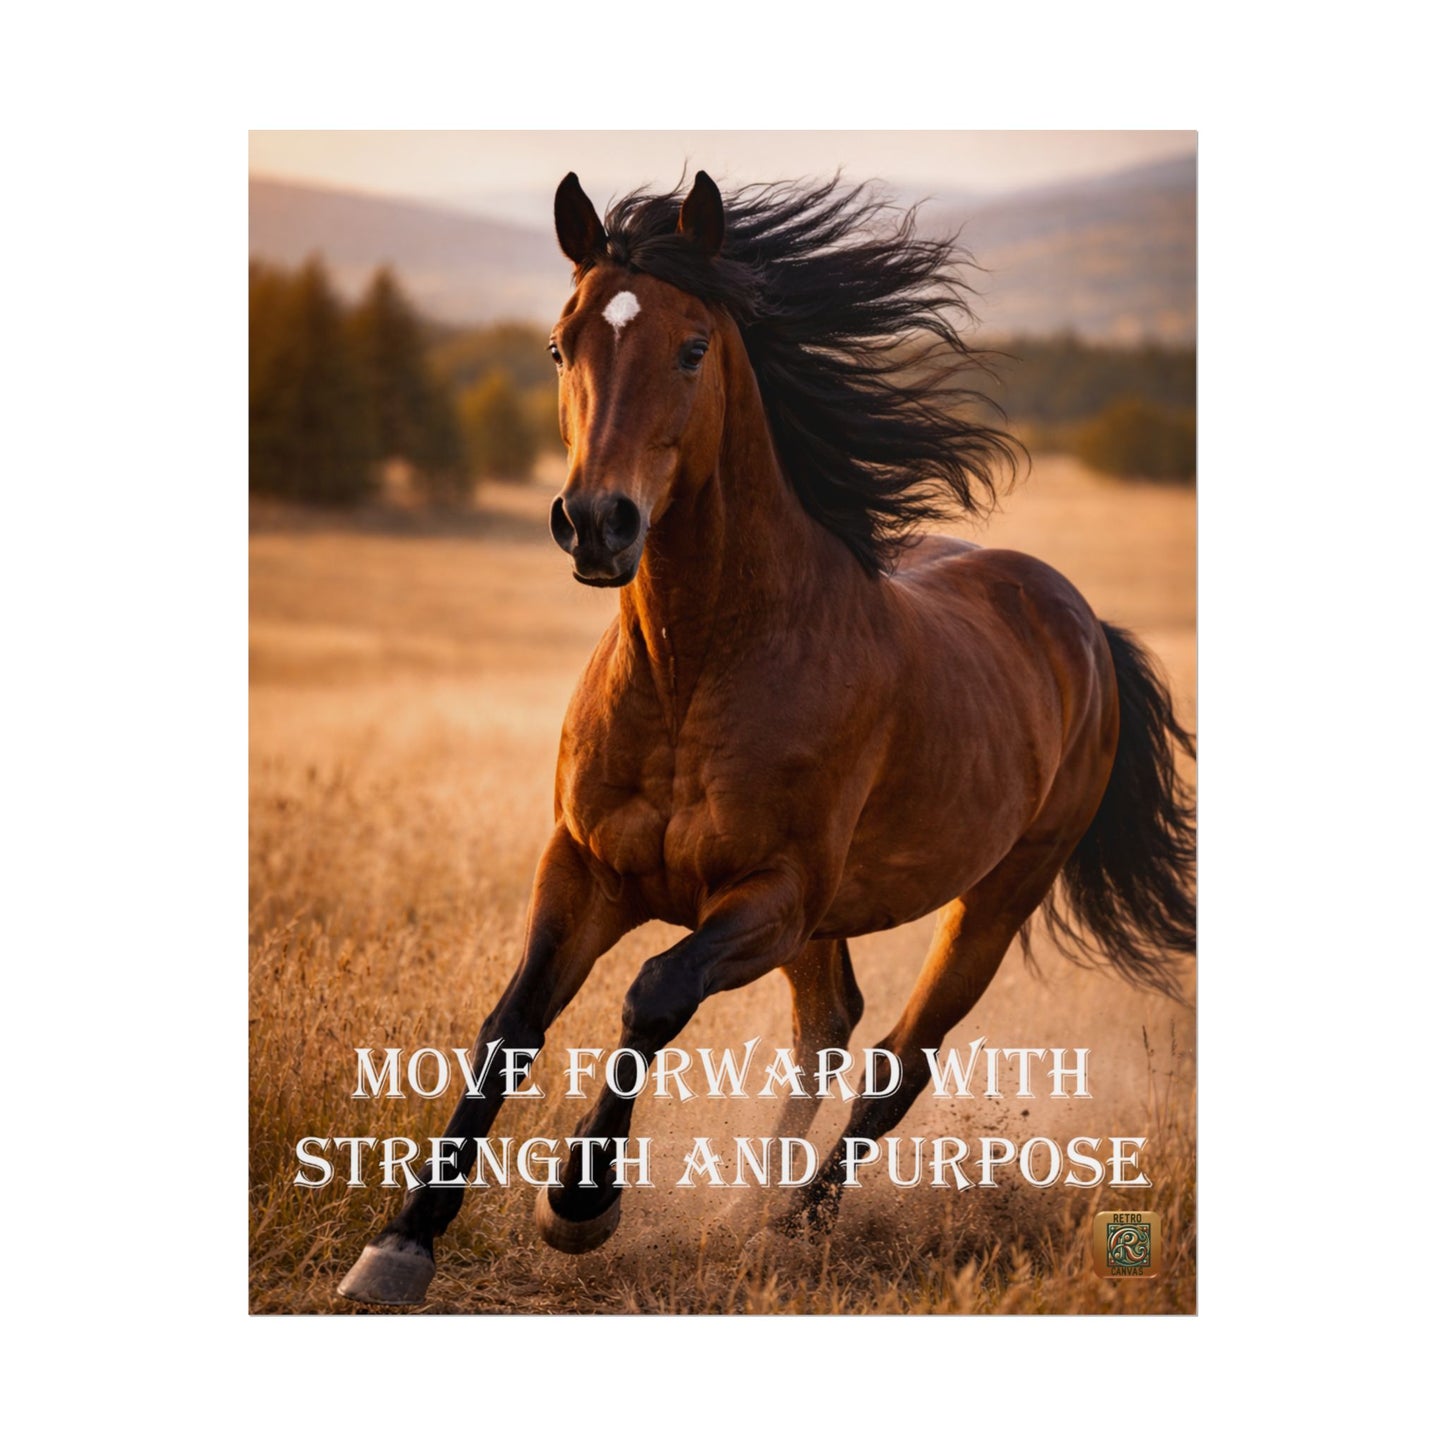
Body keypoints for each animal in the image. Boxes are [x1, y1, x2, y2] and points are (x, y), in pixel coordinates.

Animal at [337, 170, 1196, 1306]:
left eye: (693, 346)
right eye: (561, 345)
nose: (596, 522)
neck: (694, 670)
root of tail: (1081, 622)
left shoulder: (767, 898)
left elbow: (652, 994)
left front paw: (579, 1202)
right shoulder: (583, 868)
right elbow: (509, 1025)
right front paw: (401, 1242)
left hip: (997, 892)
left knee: (897, 1056)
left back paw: (794, 1221)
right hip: (832, 917)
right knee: (829, 1025)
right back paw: (750, 1211)